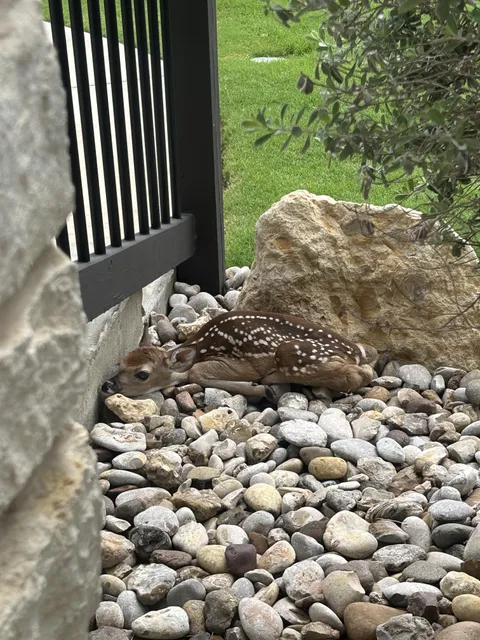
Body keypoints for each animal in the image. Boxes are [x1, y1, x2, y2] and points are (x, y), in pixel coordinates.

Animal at [101, 310, 376, 400]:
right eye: (119, 363)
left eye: (142, 374)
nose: (106, 386)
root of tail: (355, 352)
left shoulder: (244, 363)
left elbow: (196, 372)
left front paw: (258, 388)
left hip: (293, 354)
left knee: (359, 374)